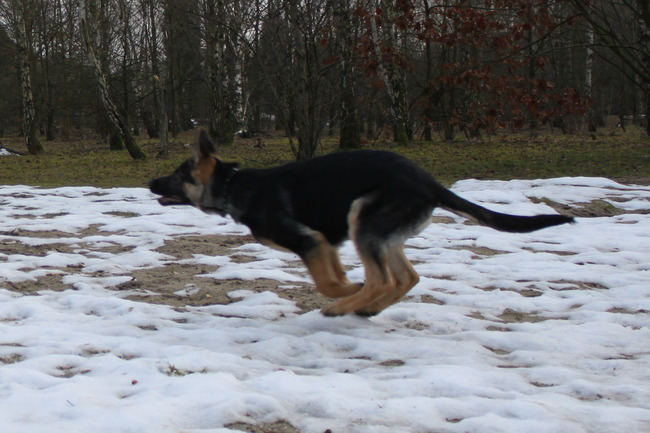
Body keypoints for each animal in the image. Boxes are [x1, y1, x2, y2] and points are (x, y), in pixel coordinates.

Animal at [150, 130, 574, 317]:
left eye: (177, 174)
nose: (151, 183)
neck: (233, 185)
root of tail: (429, 181)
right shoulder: (325, 242)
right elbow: (332, 275)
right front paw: (347, 289)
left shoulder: (309, 241)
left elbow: (327, 282)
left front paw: (343, 293)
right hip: (379, 232)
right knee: (406, 277)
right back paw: (367, 307)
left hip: (363, 220)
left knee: (383, 279)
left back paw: (347, 306)